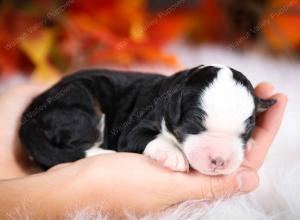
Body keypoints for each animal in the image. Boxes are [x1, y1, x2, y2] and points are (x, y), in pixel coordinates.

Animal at [19, 64, 276, 174]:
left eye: (247, 130)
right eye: (194, 122)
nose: (220, 161)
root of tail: (30, 112)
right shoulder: (132, 130)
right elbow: (153, 138)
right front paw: (173, 155)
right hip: (80, 109)